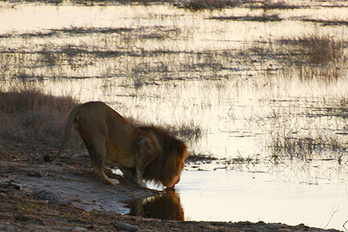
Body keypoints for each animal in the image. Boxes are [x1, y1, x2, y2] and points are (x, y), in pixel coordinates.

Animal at [45, 101, 190, 188]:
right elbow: (140, 170)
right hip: (100, 137)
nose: (178, 181)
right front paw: (141, 183)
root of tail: (81, 106)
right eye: (182, 165)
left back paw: (108, 170)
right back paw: (111, 181)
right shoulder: (144, 148)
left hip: (87, 138)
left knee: (93, 161)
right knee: (96, 167)